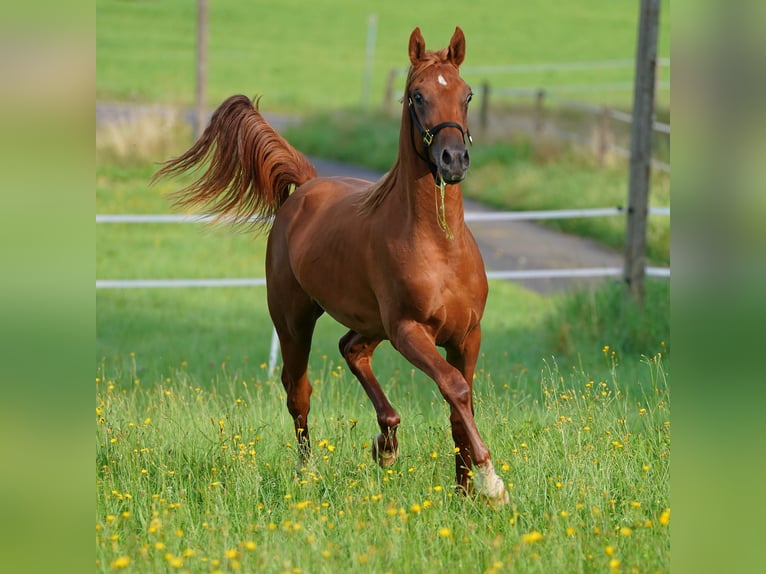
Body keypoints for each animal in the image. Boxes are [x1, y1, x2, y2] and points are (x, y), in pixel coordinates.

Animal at [156, 27, 510, 506]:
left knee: (351, 350)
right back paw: (309, 471)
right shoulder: (409, 332)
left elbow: (461, 404)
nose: (453, 160)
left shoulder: (467, 335)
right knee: (298, 392)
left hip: (369, 323)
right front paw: (490, 481)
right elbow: (453, 387)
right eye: (416, 96)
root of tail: (305, 187)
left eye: (467, 94)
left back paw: (386, 444)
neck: (441, 247)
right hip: (295, 321)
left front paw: (464, 490)